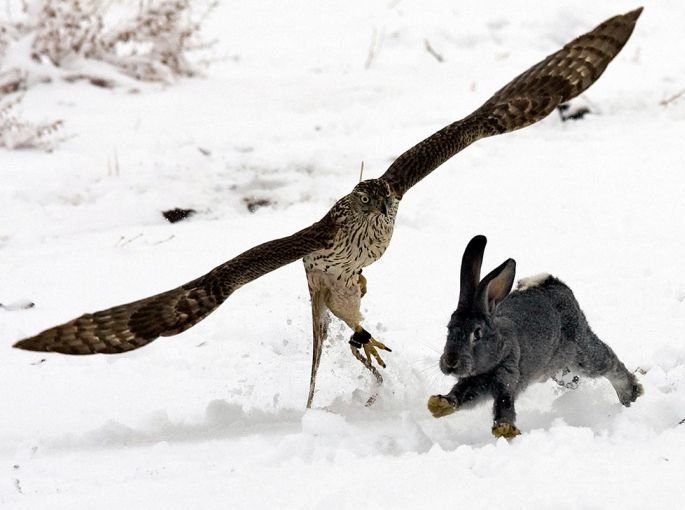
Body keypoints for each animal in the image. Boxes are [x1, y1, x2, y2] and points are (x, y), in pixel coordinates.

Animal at [428, 235, 640, 438]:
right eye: (449, 328)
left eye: (477, 333)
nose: (450, 362)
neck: (499, 348)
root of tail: (551, 282)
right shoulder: (472, 383)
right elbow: (460, 395)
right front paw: (438, 404)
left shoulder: (508, 376)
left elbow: (504, 404)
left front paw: (505, 429)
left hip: (581, 352)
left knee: (609, 362)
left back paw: (631, 394)